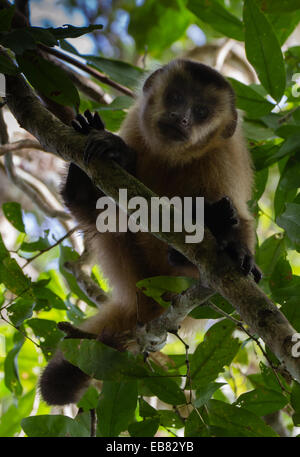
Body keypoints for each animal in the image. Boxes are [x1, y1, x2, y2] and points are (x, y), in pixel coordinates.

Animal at [40, 58, 262, 404]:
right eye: (175, 97)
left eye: (202, 112)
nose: (181, 117)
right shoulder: (135, 124)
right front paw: (117, 154)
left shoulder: (225, 156)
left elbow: (242, 217)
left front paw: (236, 247)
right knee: (104, 214)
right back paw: (82, 188)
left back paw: (206, 236)